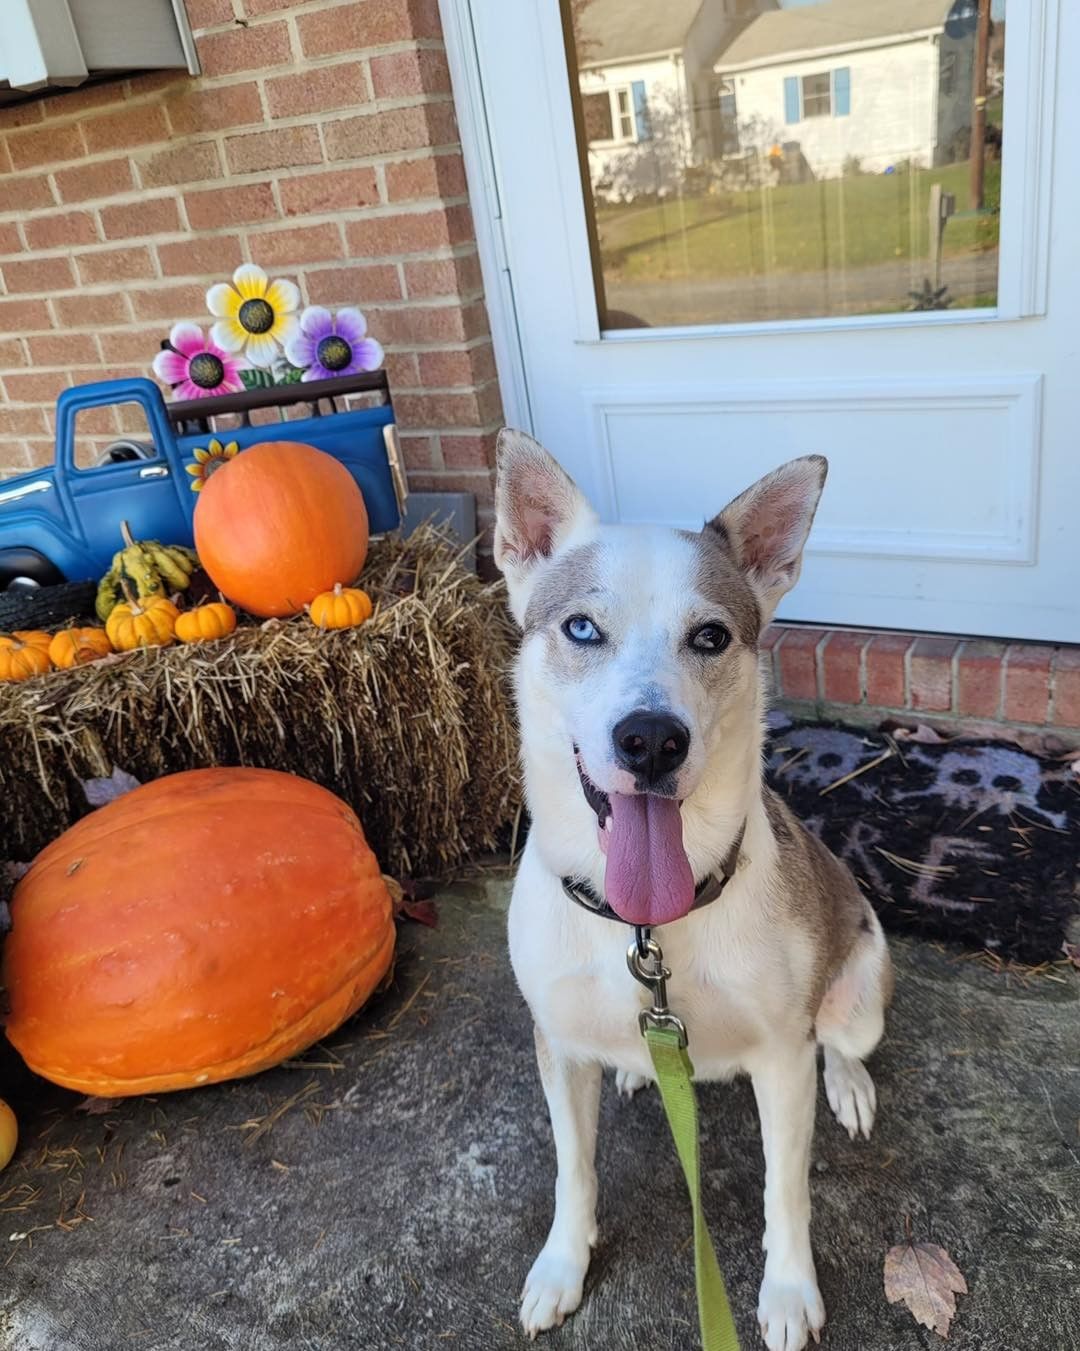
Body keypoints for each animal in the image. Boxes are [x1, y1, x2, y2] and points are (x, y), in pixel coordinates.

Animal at [494, 429, 892, 1351]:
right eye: (580, 626)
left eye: (710, 636)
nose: (650, 739)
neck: (646, 924)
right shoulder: (557, 1042)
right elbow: (573, 1168)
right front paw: (563, 1264)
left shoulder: (781, 1057)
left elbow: (787, 1187)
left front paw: (789, 1290)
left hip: (860, 988)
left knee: (842, 1040)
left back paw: (850, 1084)